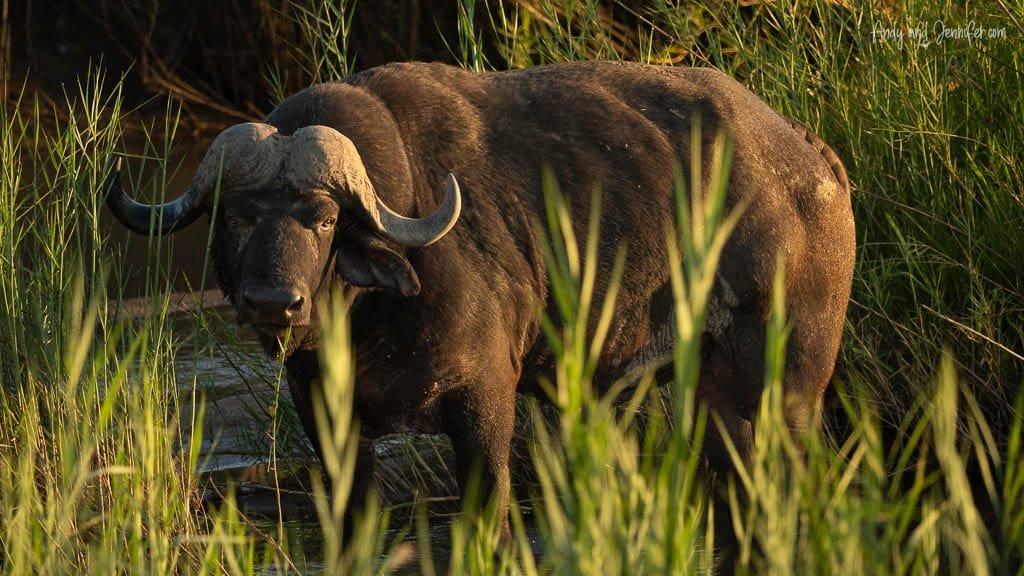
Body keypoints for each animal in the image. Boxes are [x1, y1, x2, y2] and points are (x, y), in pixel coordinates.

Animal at [105, 61, 856, 539]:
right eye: (234, 217)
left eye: (321, 218)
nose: (273, 302)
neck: (370, 317)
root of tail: (812, 158)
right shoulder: (327, 416)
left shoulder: (485, 399)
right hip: (720, 399)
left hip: (791, 384)